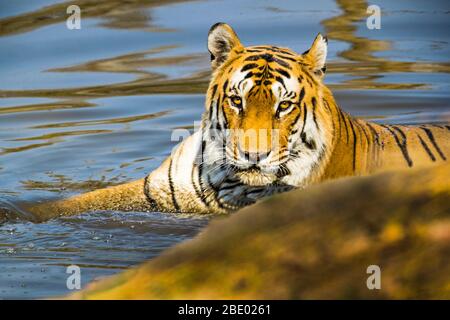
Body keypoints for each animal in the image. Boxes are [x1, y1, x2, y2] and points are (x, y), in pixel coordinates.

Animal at [8, 23, 448, 222]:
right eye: (237, 100)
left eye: (283, 106)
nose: (254, 156)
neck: (220, 181)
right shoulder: (158, 189)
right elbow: (70, 204)